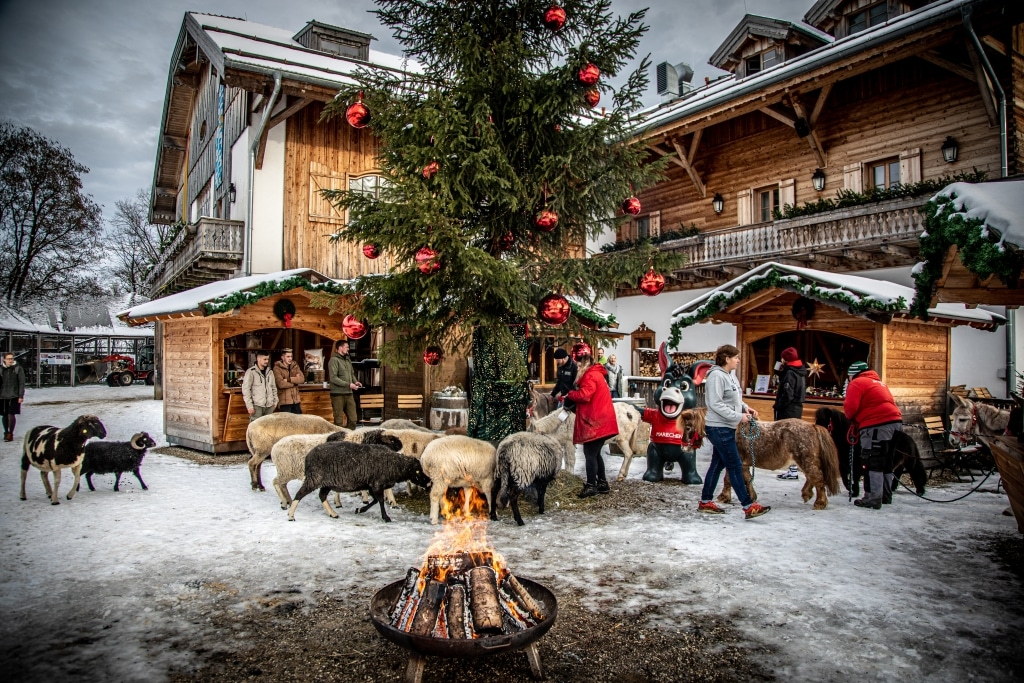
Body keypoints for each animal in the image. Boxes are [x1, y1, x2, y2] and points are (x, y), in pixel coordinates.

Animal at [284, 438, 428, 524]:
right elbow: (380, 501)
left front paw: (359, 509)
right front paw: (386, 517)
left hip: (327, 482)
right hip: (314, 478)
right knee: (300, 494)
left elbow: (375, 501)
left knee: (322, 496)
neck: (394, 465)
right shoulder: (377, 484)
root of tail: (308, 457)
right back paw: (291, 515)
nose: (428, 483)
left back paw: (333, 514)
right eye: (418, 471)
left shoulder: (370, 484)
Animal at [679, 409, 839, 509]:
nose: (683, 447)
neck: (730, 431)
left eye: (688, 427)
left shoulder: (734, 461)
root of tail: (813, 426)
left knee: (817, 478)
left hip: (806, 460)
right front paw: (751, 497)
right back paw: (807, 494)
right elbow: (745, 479)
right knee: (812, 477)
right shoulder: (742, 464)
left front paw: (724, 497)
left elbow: (729, 479)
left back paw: (820, 502)